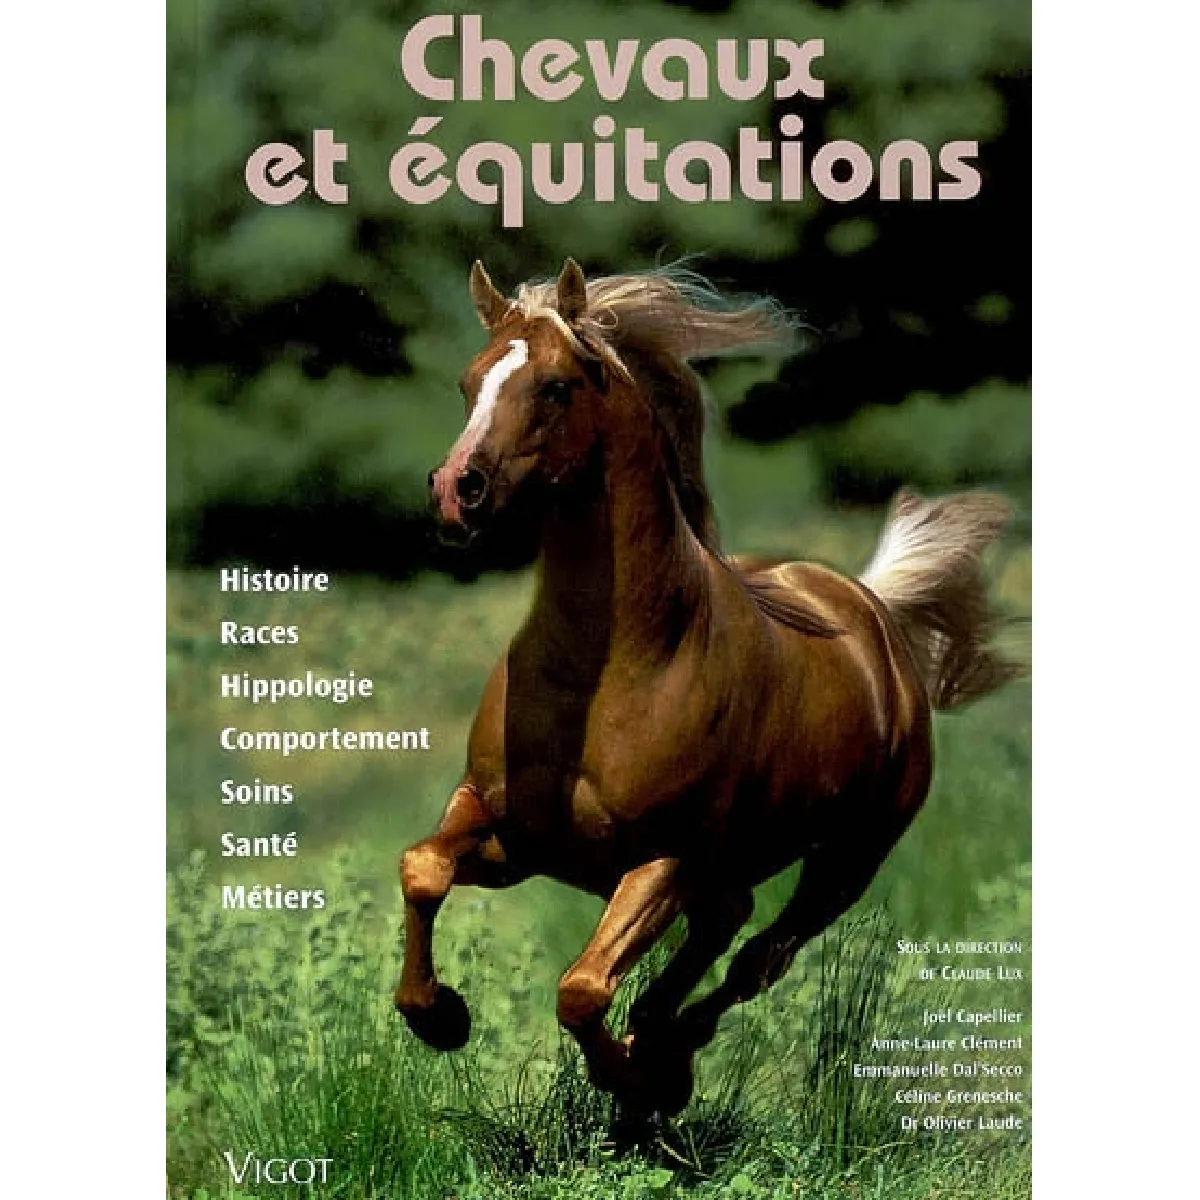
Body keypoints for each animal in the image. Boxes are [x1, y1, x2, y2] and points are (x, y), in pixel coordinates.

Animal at [395, 258, 1019, 1116]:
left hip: (846, 864)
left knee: (758, 957)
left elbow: (582, 989)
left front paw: (629, 1077)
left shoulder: (665, 858)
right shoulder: (508, 831)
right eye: (469, 380)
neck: (608, 674)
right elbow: (422, 868)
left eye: (555, 386)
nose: (458, 491)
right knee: (727, 929)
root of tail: (874, 614)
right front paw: (440, 1016)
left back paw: (668, 1057)